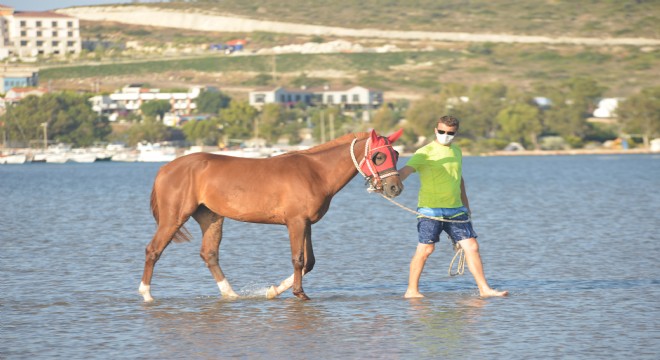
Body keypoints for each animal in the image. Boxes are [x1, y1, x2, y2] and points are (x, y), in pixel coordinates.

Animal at [140, 129, 404, 300]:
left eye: (397, 154)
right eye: (378, 156)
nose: (395, 188)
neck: (315, 171)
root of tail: (165, 168)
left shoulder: (306, 223)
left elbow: (310, 262)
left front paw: (273, 290)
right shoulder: (295, 222)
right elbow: (298, 259)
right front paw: (299, 293)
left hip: (211, 217)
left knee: (209, 254)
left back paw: (231, 294)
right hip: (174, 217)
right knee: (154, 250)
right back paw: (146, 294)